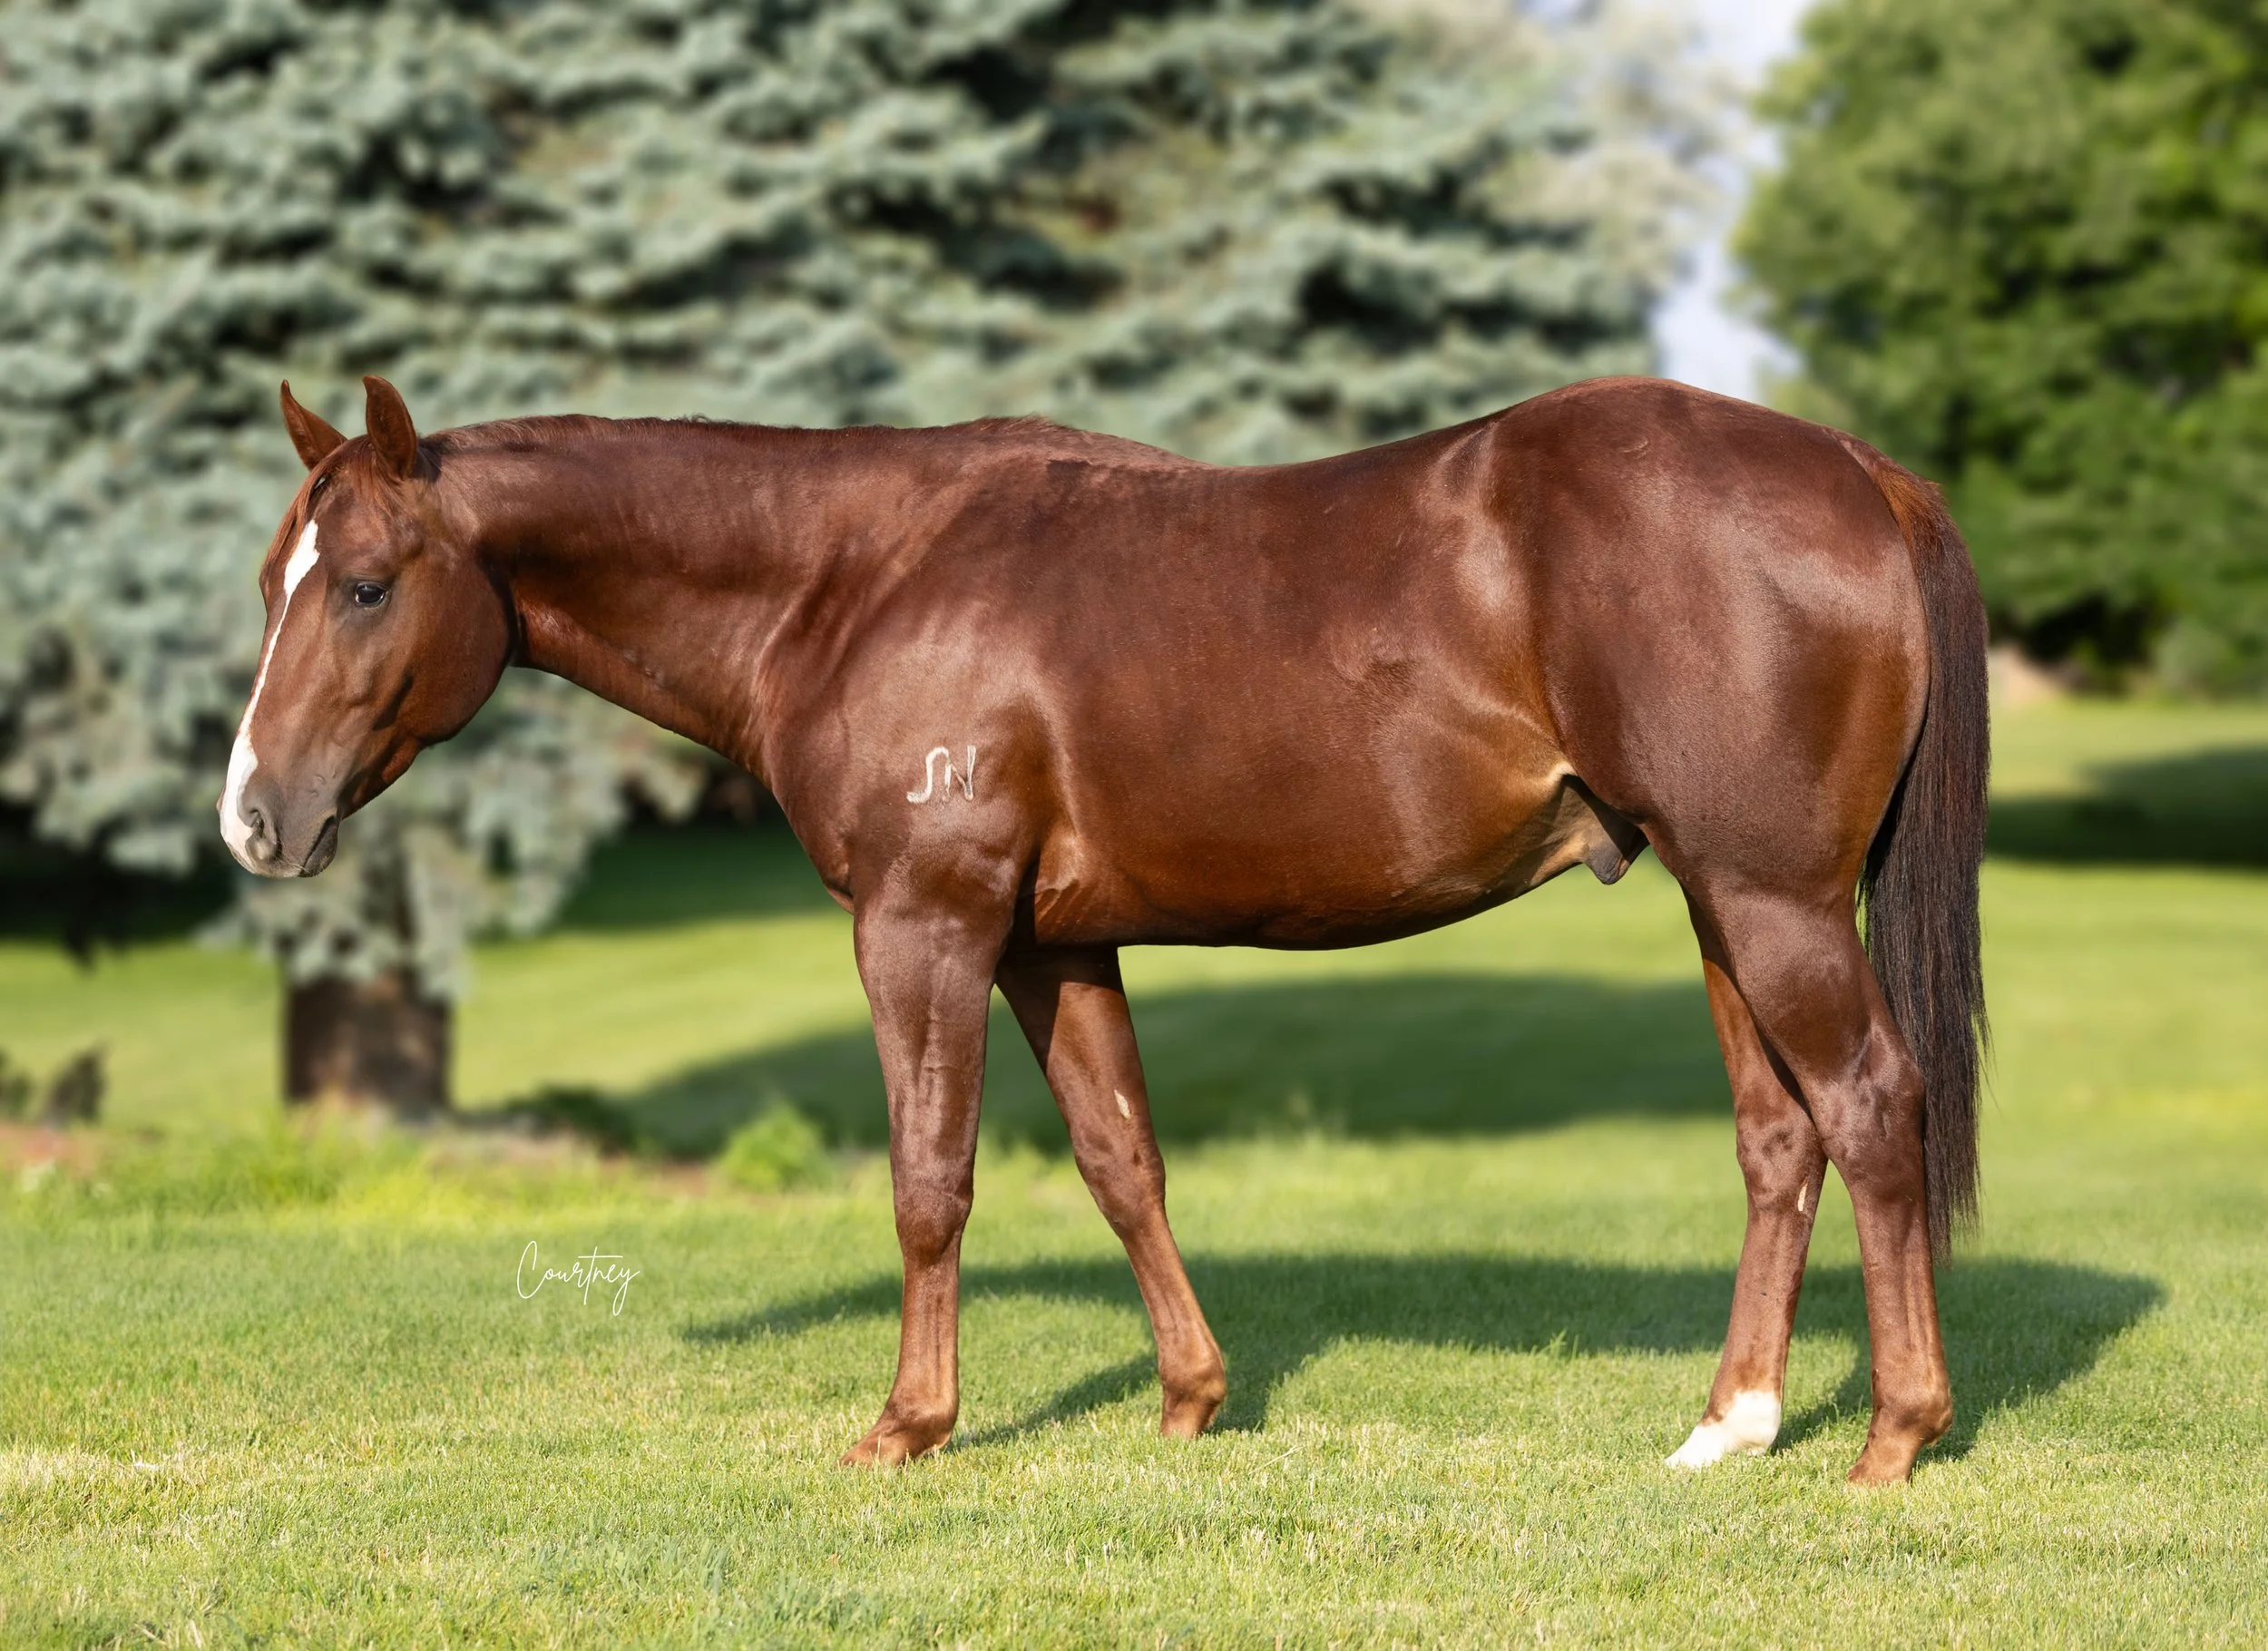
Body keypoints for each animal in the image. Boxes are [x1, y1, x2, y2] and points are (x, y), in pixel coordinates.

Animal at [223, 373, 1987, 1484]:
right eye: (270, 580)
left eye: (366, 583)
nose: (256, 817)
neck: (854, 578)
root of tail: (1857, 469)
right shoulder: (1047, 945)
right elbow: (1120, 1156)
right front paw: (1190, 1403)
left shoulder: (924, 929)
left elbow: (929, 1182)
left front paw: (908, 1427)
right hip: (1719, 900)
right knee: (1779, 1136)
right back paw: (1732, 1424)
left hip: (1767, 900)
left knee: (1871, 1108)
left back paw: (1896, 1436)